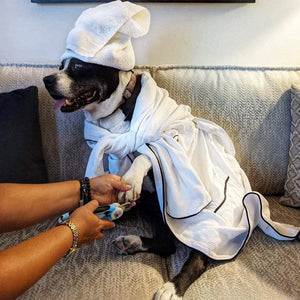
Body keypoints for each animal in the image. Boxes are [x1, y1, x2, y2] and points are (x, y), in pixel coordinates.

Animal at [43, 57, 209, 298]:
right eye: (60, 66)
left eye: (78, 65)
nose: (46, 80)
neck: (120, 104)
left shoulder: (174, 135)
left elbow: (148, 151)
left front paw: (131, 179)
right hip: (152, 204)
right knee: (166, 243)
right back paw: (129, 237)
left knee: (197, 258)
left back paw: (172, 287)